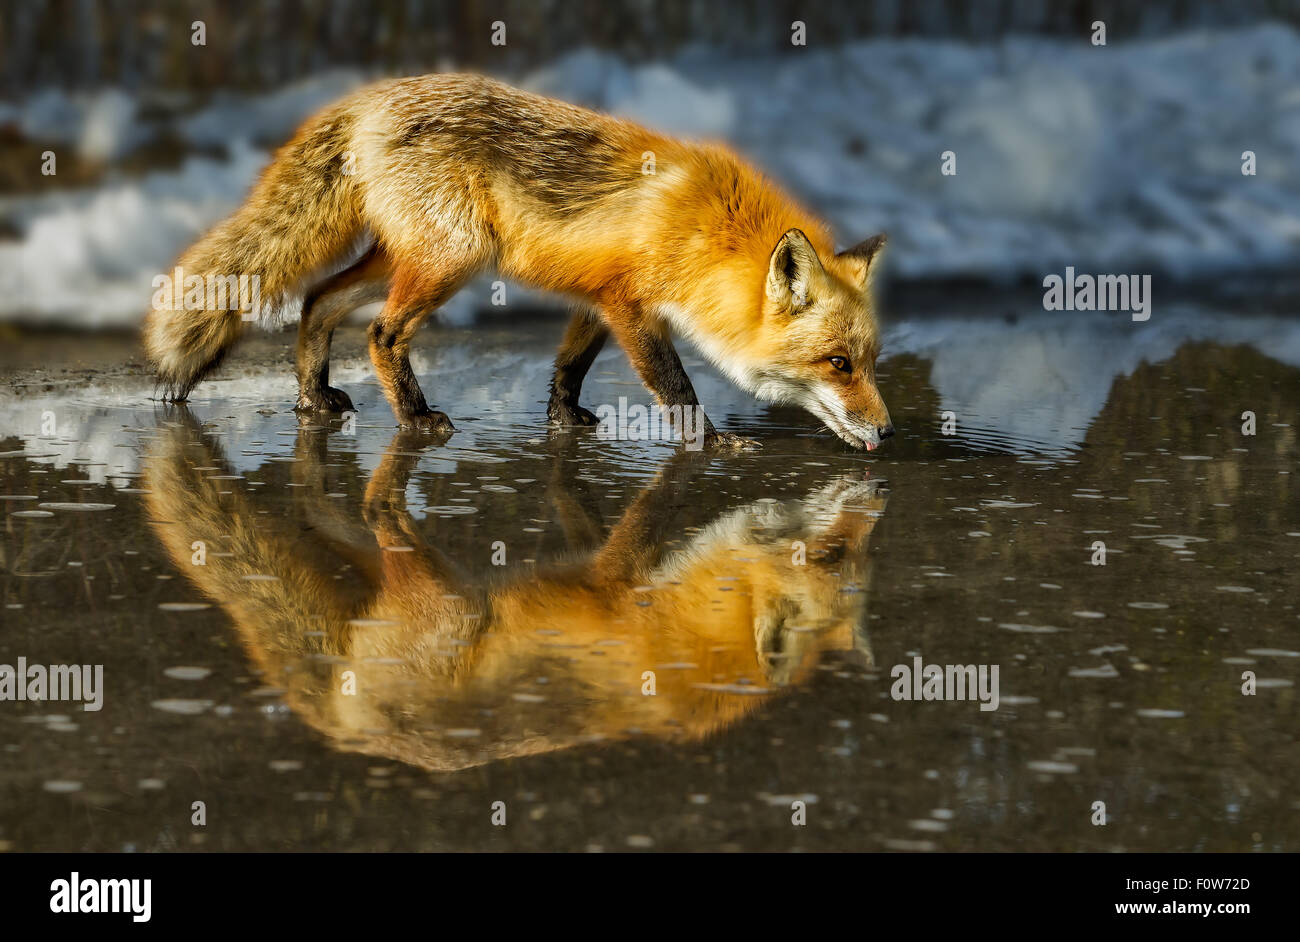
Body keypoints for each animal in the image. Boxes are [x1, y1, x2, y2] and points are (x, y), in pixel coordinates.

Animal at [142, 73, 894, 449]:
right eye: (838, 364)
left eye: (869, 361)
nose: (889, 429)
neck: (709, 234)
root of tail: (367, 98)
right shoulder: (632, 306)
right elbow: (675, 386)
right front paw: (709, 443)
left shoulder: (599, 294)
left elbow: (568, 366)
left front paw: (563, 421)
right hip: (452, 258)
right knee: (381, 333)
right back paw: (415, 417)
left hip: (403, 257)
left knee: (317, 298)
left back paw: (311, 398)